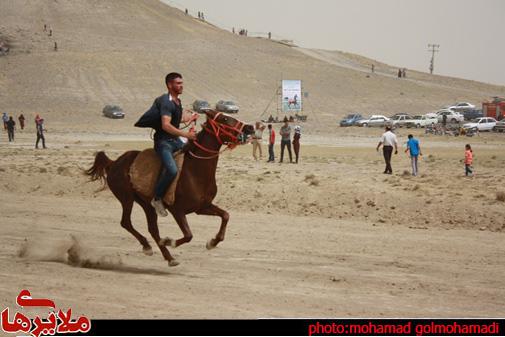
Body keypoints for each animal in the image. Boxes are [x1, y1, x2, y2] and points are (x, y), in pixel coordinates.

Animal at [85, 109, 256, 266]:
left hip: (146, 203)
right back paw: (149, 247)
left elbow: (225, 215)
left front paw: (212, 242)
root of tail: (114, 162)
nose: (250, 128)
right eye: (225, 119)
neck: (194, 171)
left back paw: (168, 257)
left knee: (152, 228)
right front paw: (169, 241)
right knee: (126, 222)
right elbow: (188, 235)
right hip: (126, 198)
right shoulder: (177, 210)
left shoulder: (202, 207)